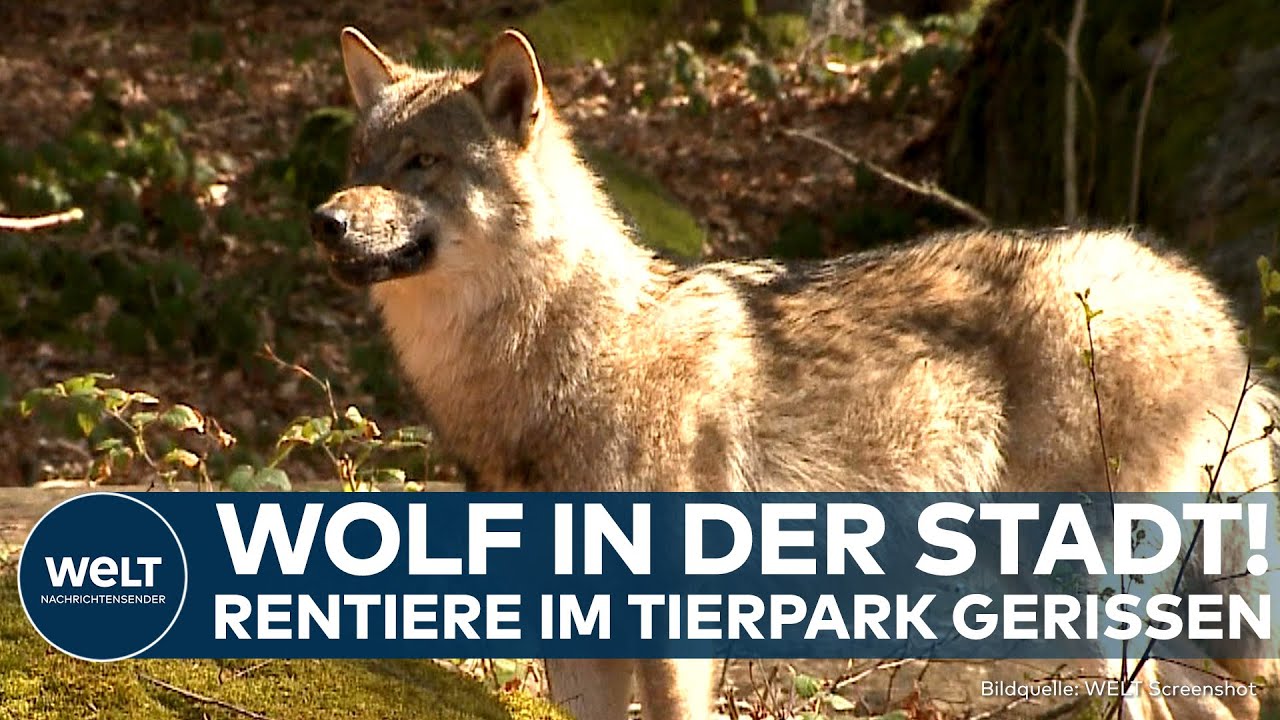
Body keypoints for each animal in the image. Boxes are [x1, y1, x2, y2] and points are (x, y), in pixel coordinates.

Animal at [312, 26, 1280, 720]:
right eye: (359, 162)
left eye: (422, 163)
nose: (324, 219)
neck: (562, 358)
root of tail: (1209, 303)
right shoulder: (578, 634)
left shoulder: (677, 629)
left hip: (1082, 607)